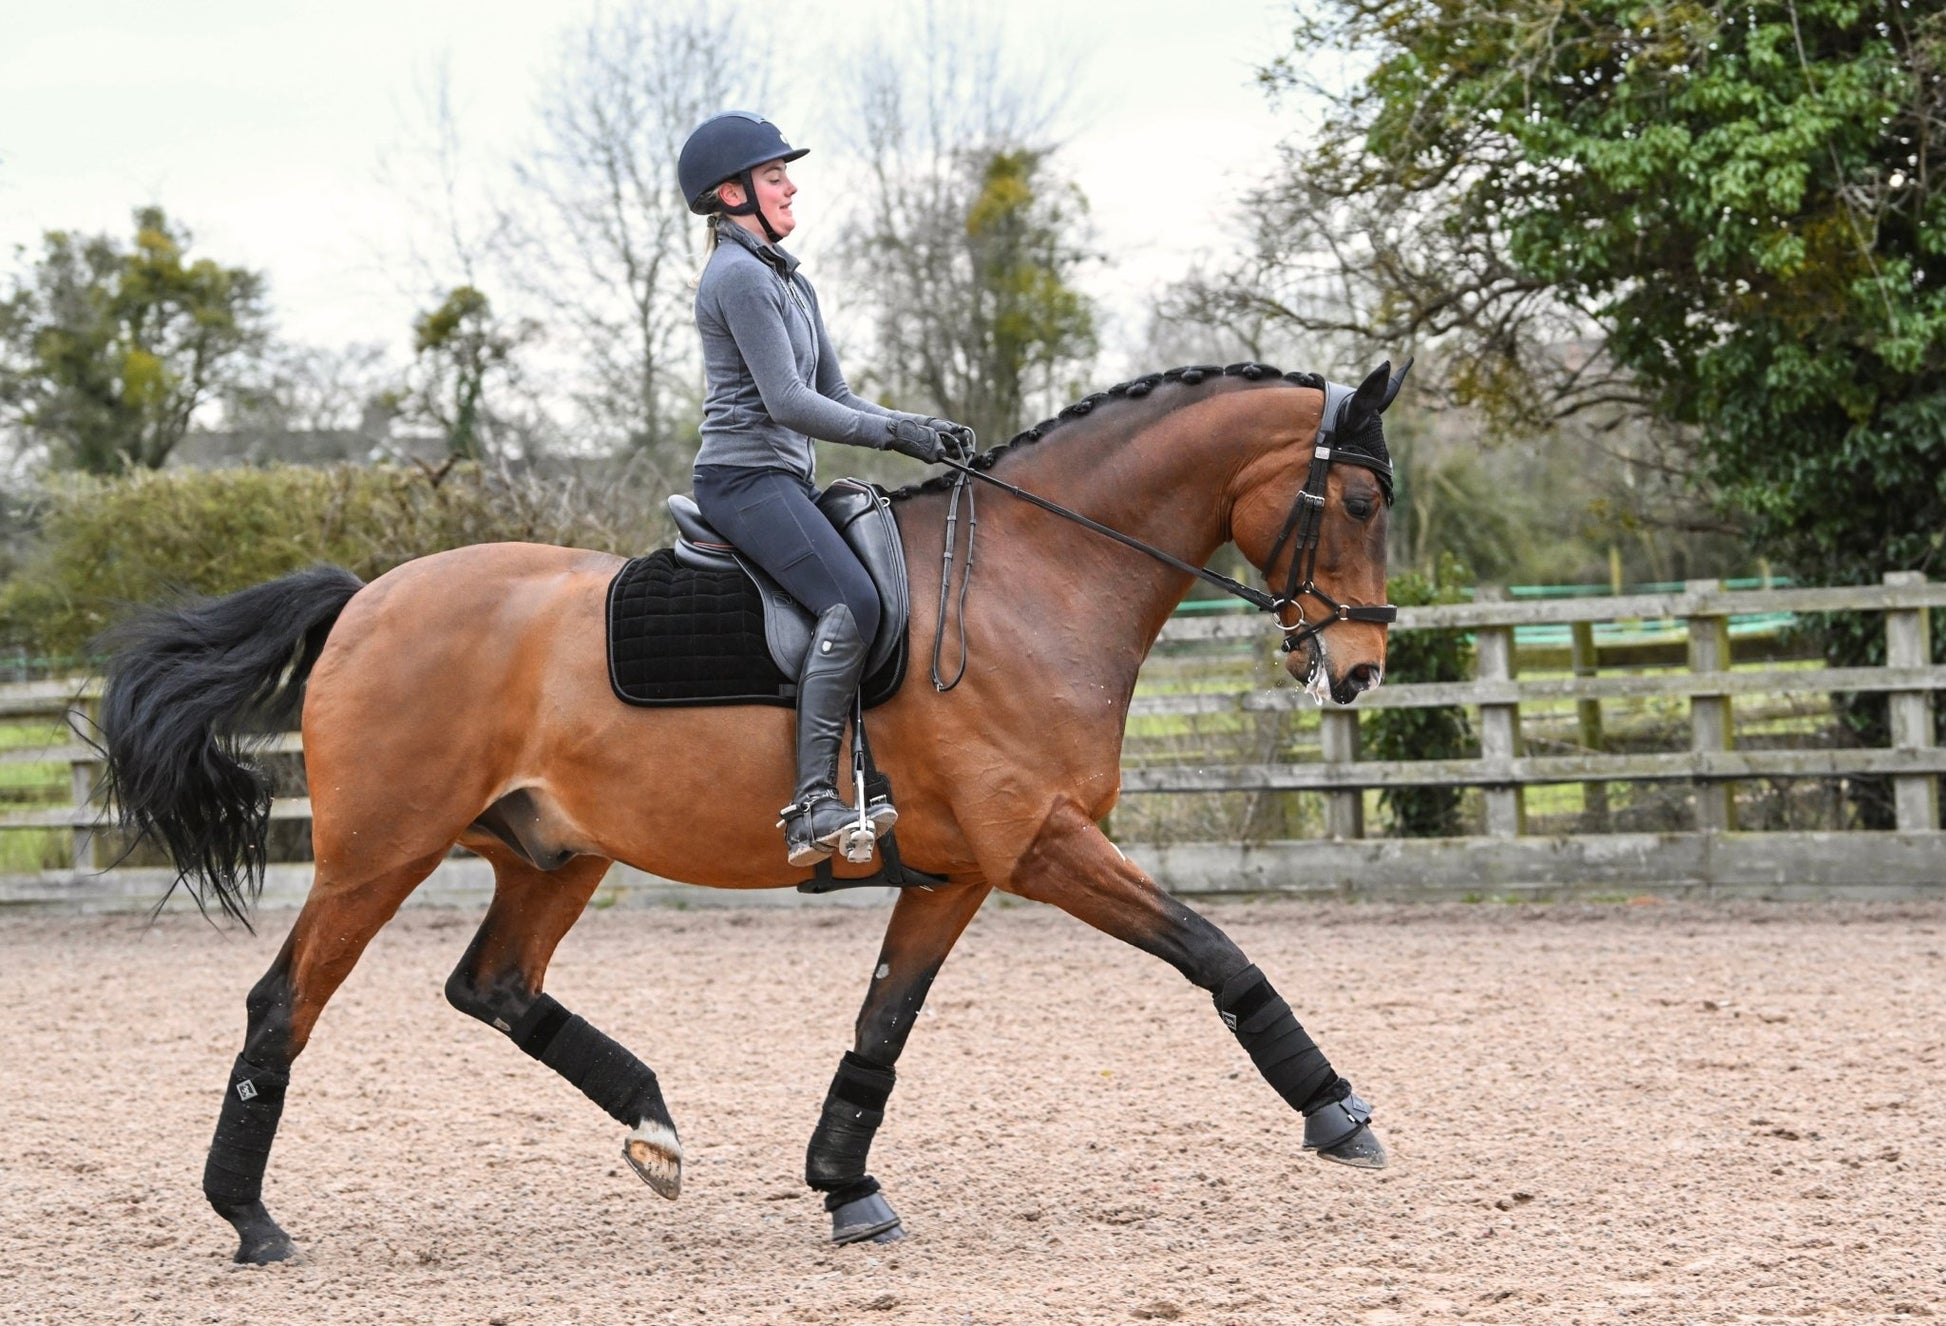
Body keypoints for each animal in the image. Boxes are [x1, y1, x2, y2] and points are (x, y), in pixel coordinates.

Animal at [98, 356, 1408, 1253]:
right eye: (1356, 505)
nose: (1357, 671)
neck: (1033, 580)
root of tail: (365, 599)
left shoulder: (961, 871)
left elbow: (881, 1030)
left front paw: (844, 1185)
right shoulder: (1041, 845)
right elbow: (1215, 954)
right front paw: (1337, 1114)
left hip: (551, 854)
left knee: (494, 986)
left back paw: (653, 1125)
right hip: (380, 853)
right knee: (284, 1005)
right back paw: (248, 1218)